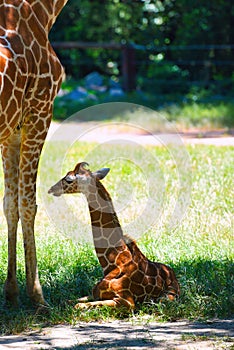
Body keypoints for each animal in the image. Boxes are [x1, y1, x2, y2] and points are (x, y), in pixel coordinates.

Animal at [47, 162, 179, 308]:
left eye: (69, 179)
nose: (51, 189)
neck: (112, 262)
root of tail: (173, 274)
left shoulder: (126, 301)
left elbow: (79, 306)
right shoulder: (93, 293)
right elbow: (67, 300)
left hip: (166, 297)